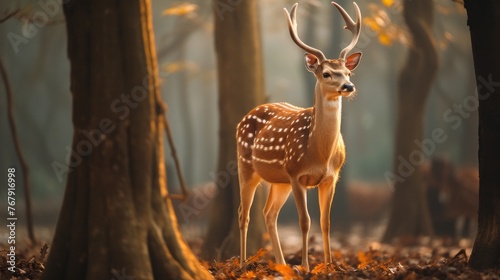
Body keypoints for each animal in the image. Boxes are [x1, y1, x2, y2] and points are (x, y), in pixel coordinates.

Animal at [236, 1, 362, 270]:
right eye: (326, 73)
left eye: (348, 72)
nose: (348, 87)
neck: (319, 153)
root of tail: (245, 116)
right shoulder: (296, 174)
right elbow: (305, 221)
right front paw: (305, 266)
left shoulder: (331, 177)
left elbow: (326, 222)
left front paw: (329, 265)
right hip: (246, 166)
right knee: (244, 213)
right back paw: (241, 264)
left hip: (278, 180)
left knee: (268, 213)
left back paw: (281, 264)